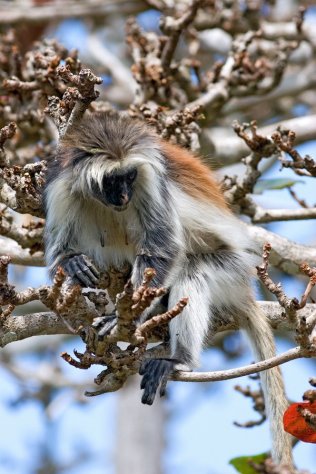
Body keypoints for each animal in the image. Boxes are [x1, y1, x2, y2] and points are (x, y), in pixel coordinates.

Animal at [44, 110, 294, 466]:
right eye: (112, 181)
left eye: (129, 177)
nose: (124, 196)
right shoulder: (61, 186)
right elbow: (58, 254)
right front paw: (73, 264)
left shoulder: (150, 181)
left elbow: (163, 250)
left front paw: (123, 320)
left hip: (232, 269)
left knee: (192, 271)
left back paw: (178, 358)